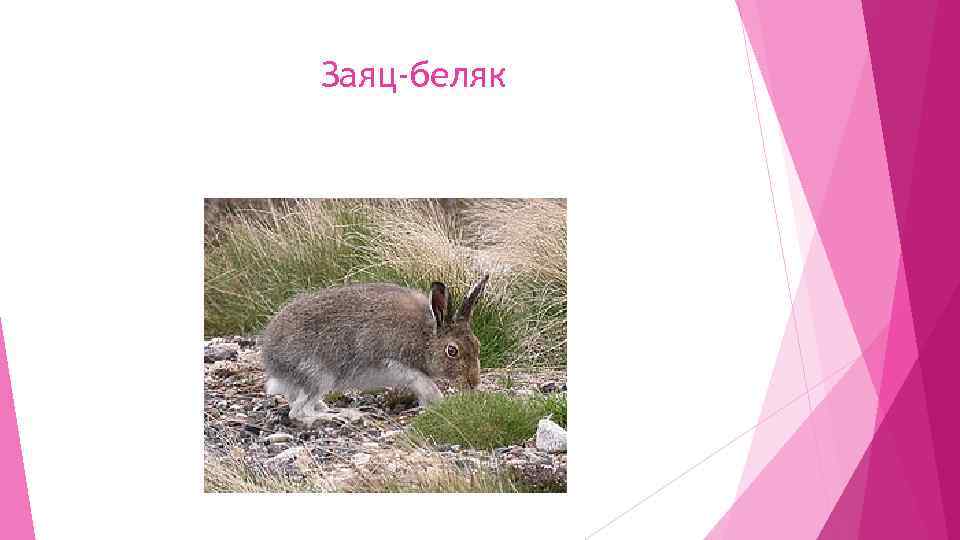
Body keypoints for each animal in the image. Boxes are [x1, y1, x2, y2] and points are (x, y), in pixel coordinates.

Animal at [261, 274, 489, 425]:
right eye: (452, 351)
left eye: (477, 344)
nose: (474, 383)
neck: (426, 336)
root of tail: (272, 361)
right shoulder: (392, 360)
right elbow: (423, 382)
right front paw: (439, 402)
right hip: (318, 376)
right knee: (299, 412)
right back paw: (345, 415)